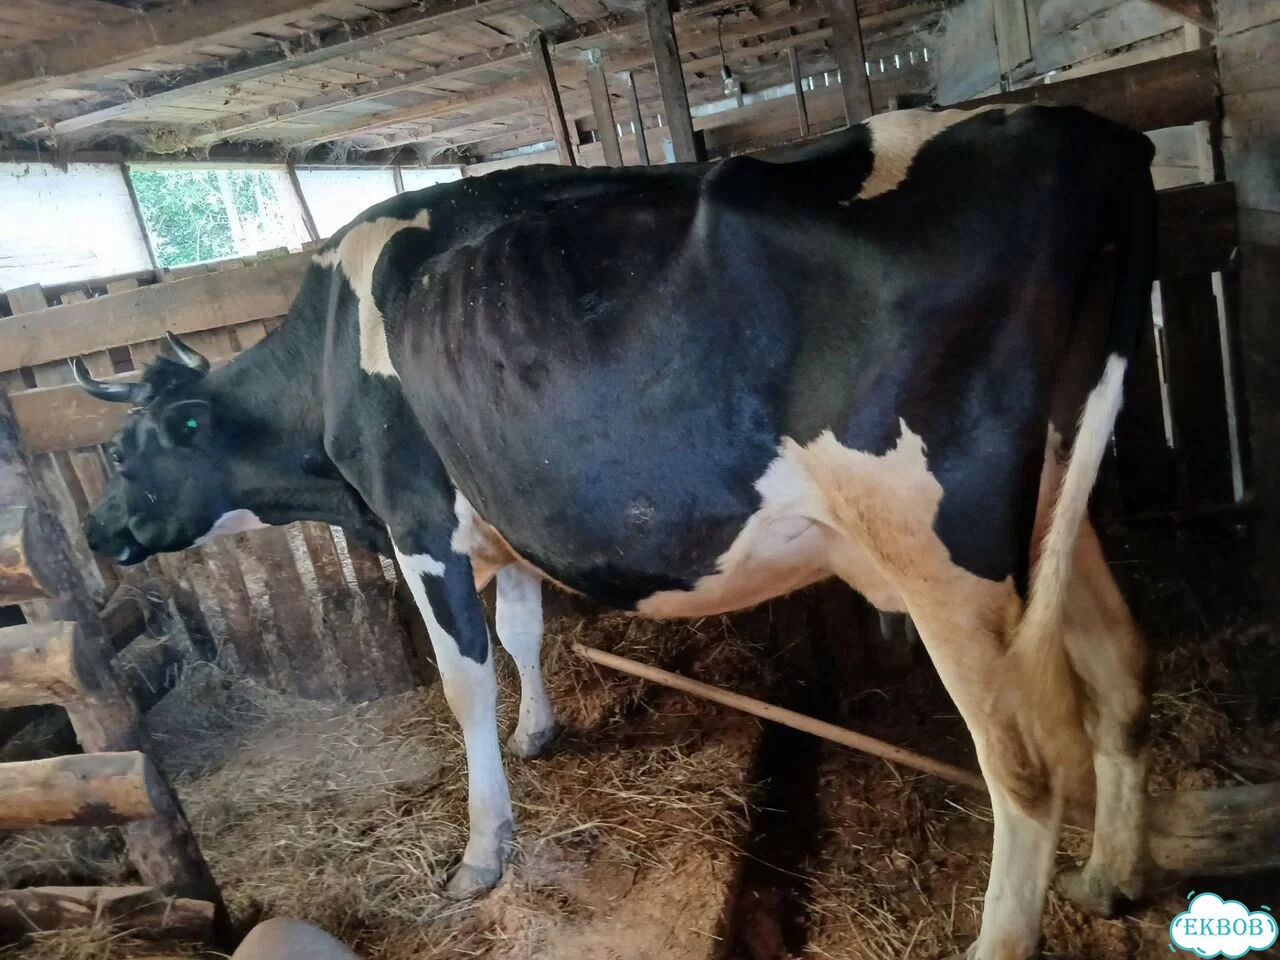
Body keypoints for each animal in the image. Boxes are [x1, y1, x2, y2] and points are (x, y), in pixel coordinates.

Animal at [75, 104, 1156, 960]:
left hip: (940, 551)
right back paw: (1109, 877)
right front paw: (540, 732)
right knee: (1118, 672)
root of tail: (1084, 133)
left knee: (1025, 763)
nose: (94, 530)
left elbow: (464, 682)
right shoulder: (502, 516)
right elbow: (521, 631)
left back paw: (999, 934)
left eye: (126, 450)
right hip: (1060, 505)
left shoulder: (418, 521)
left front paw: (482, 850)